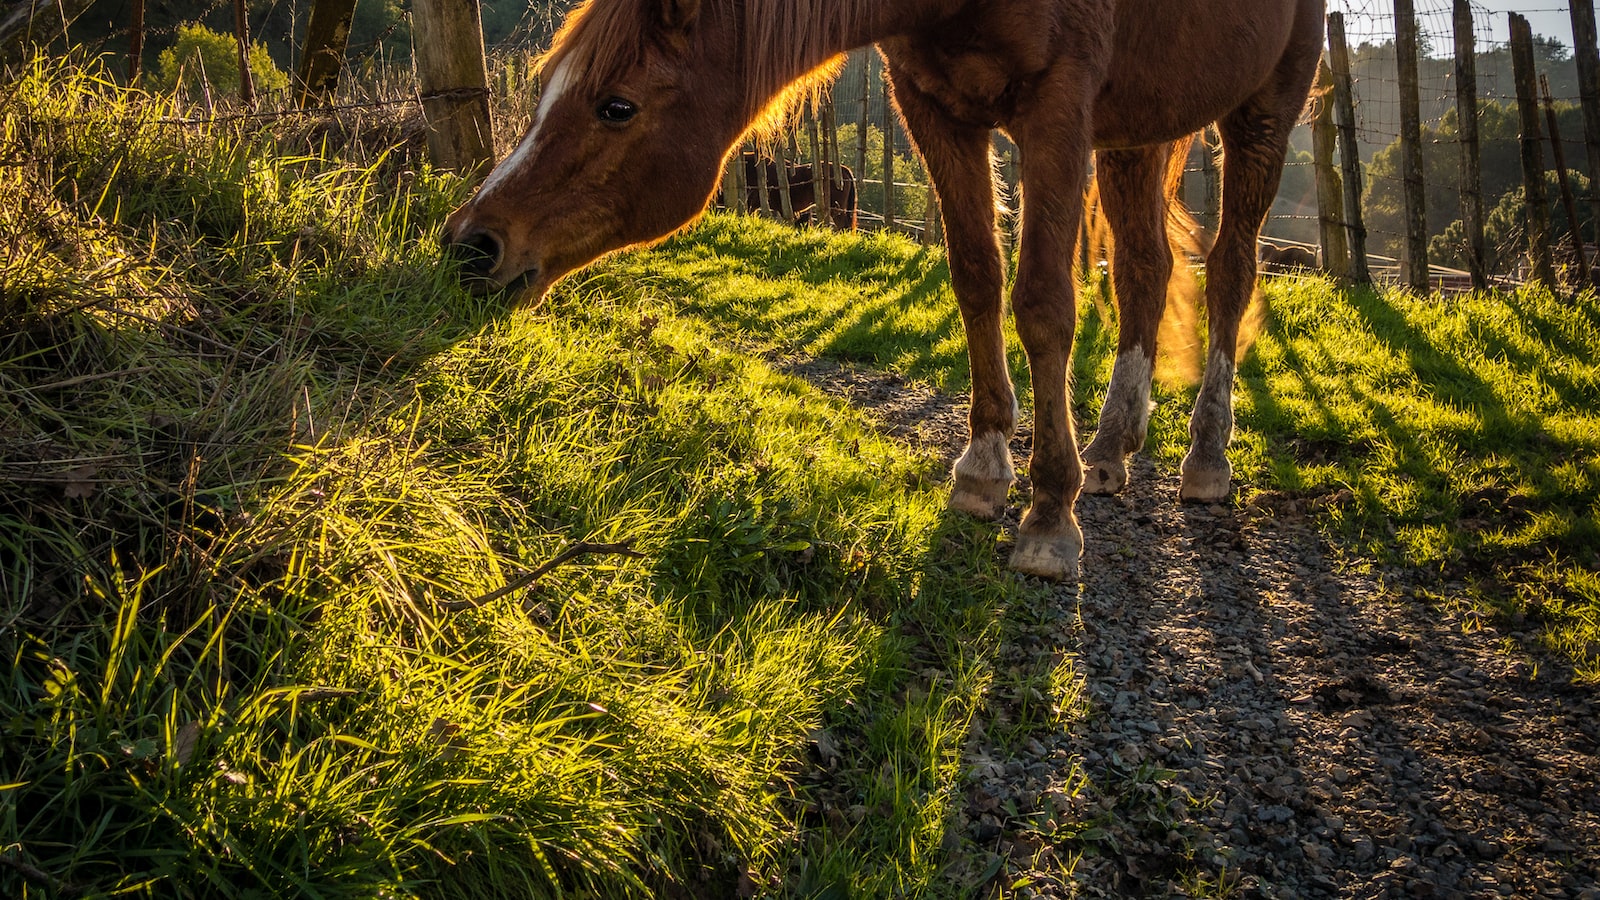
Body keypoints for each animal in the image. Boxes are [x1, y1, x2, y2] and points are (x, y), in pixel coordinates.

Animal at [442, 0, 1324, 580]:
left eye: (616, 105)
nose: (470, 245)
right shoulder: (932, 105)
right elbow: (976, 277)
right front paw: (984, 467)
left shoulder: (1058, 104)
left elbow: (1042, 302)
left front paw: (1048, 512)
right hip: (1141, 125)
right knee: (1146, 268)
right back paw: (1110, 448)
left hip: (1263, 106)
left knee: (1231, 272)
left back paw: (1206, 456)